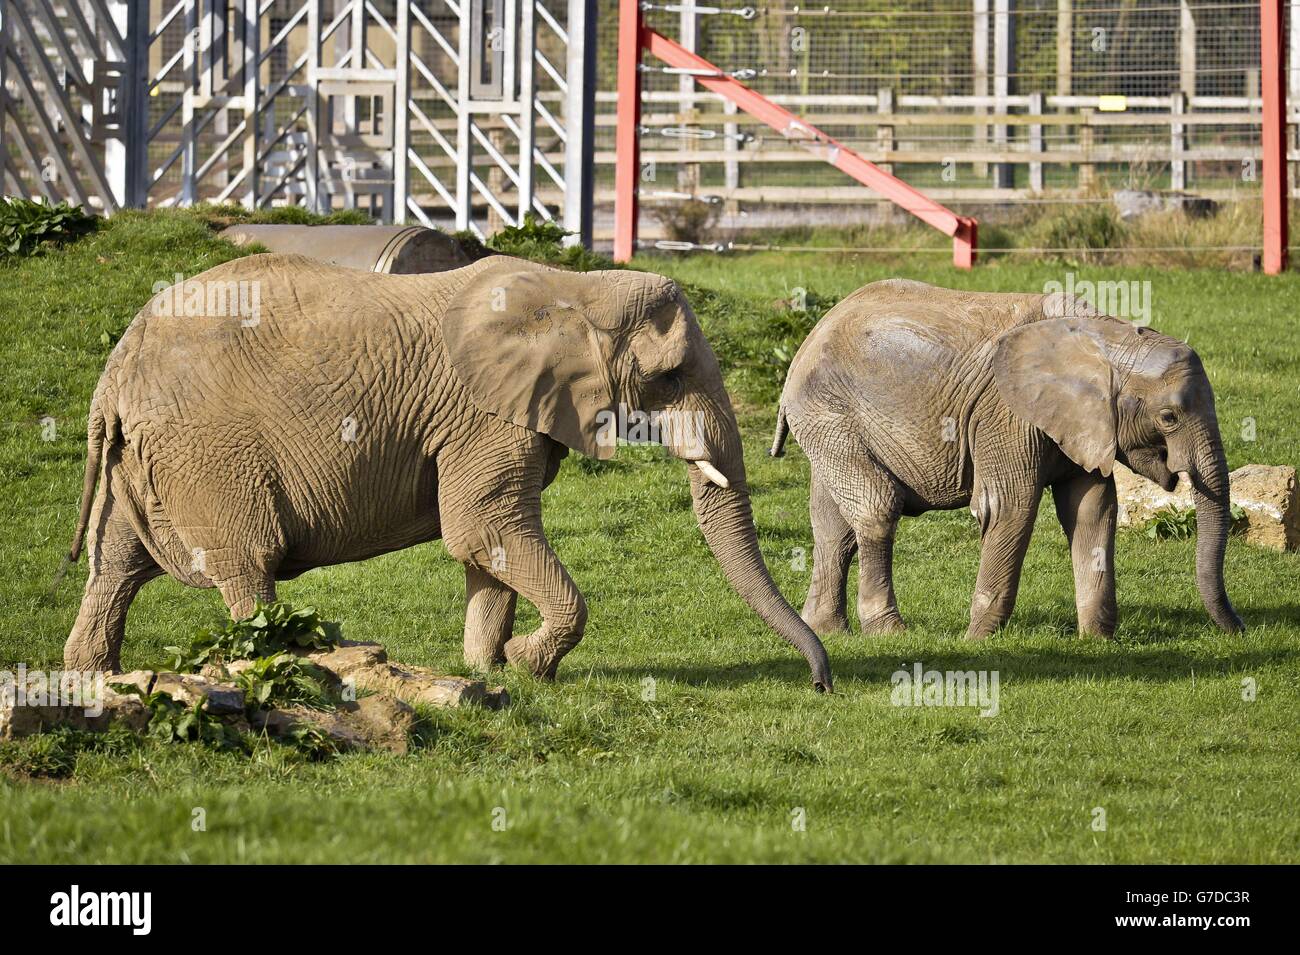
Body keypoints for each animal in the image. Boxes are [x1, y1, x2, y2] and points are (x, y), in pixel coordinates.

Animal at [63, 253, 833, 691]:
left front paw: (486, 672)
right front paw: (526, 664)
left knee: (114, 565)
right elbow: (483, 528)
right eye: (669, 376)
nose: (821, 684)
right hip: (209, 454)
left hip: (143, 461)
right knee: (247, 566)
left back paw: (90, 680)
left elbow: (486, 545)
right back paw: (281, 665)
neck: (575, 289)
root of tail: (115, 372)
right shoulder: (484, 413)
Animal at [770, 279, 1244, 641]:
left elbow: (1092, 508)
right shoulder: (1008, 415)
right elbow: (1008, 506)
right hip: (827, 410)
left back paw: (827, 630)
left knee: (833, 525)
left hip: (831, 418)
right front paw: (976, 640)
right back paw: (889, 632)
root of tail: (813, 333)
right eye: (1168, 417)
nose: (1239, 628)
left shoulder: (1082, 424)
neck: (1108, 340)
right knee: (876, 510)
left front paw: (1096, 641)